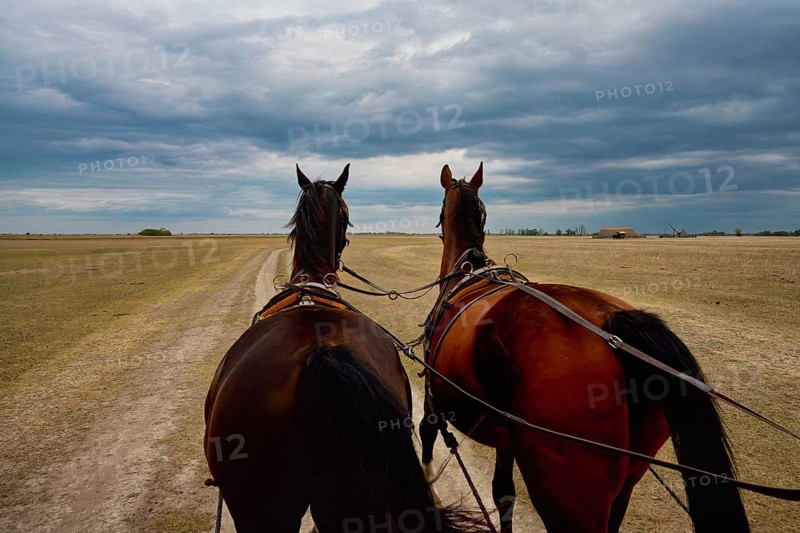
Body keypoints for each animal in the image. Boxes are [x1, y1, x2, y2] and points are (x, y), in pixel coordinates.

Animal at [418, 162, 750, 532]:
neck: (470, 271)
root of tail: (614, 321)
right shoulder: (505, 437)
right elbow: (503, 493)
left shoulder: (432, 399)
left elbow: (426, 437)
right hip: (625, 482)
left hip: (567, 491)